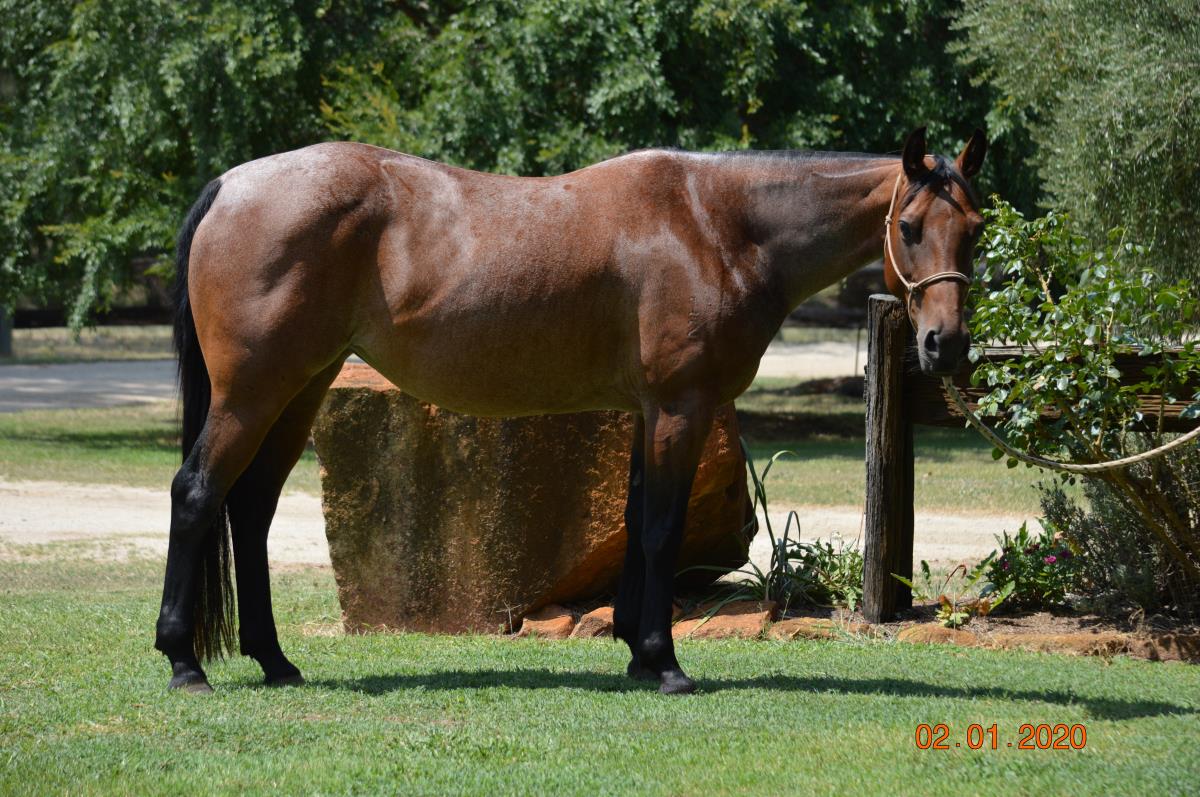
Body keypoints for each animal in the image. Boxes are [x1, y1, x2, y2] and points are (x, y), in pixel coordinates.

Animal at [158, 126, 986, 695]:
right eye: (909, 228)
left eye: (974, 230)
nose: (944, 345)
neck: (715, 222)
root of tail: (231, 184)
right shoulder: (680, 407)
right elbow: (661, 528)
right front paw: (664, 662)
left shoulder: (649, 411)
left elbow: (636, 519)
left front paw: (635, 652)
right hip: (252, 391)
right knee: (198, 494)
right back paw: (183, 660)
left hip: (300, 387)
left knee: (251, 510)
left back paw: (275, 659)